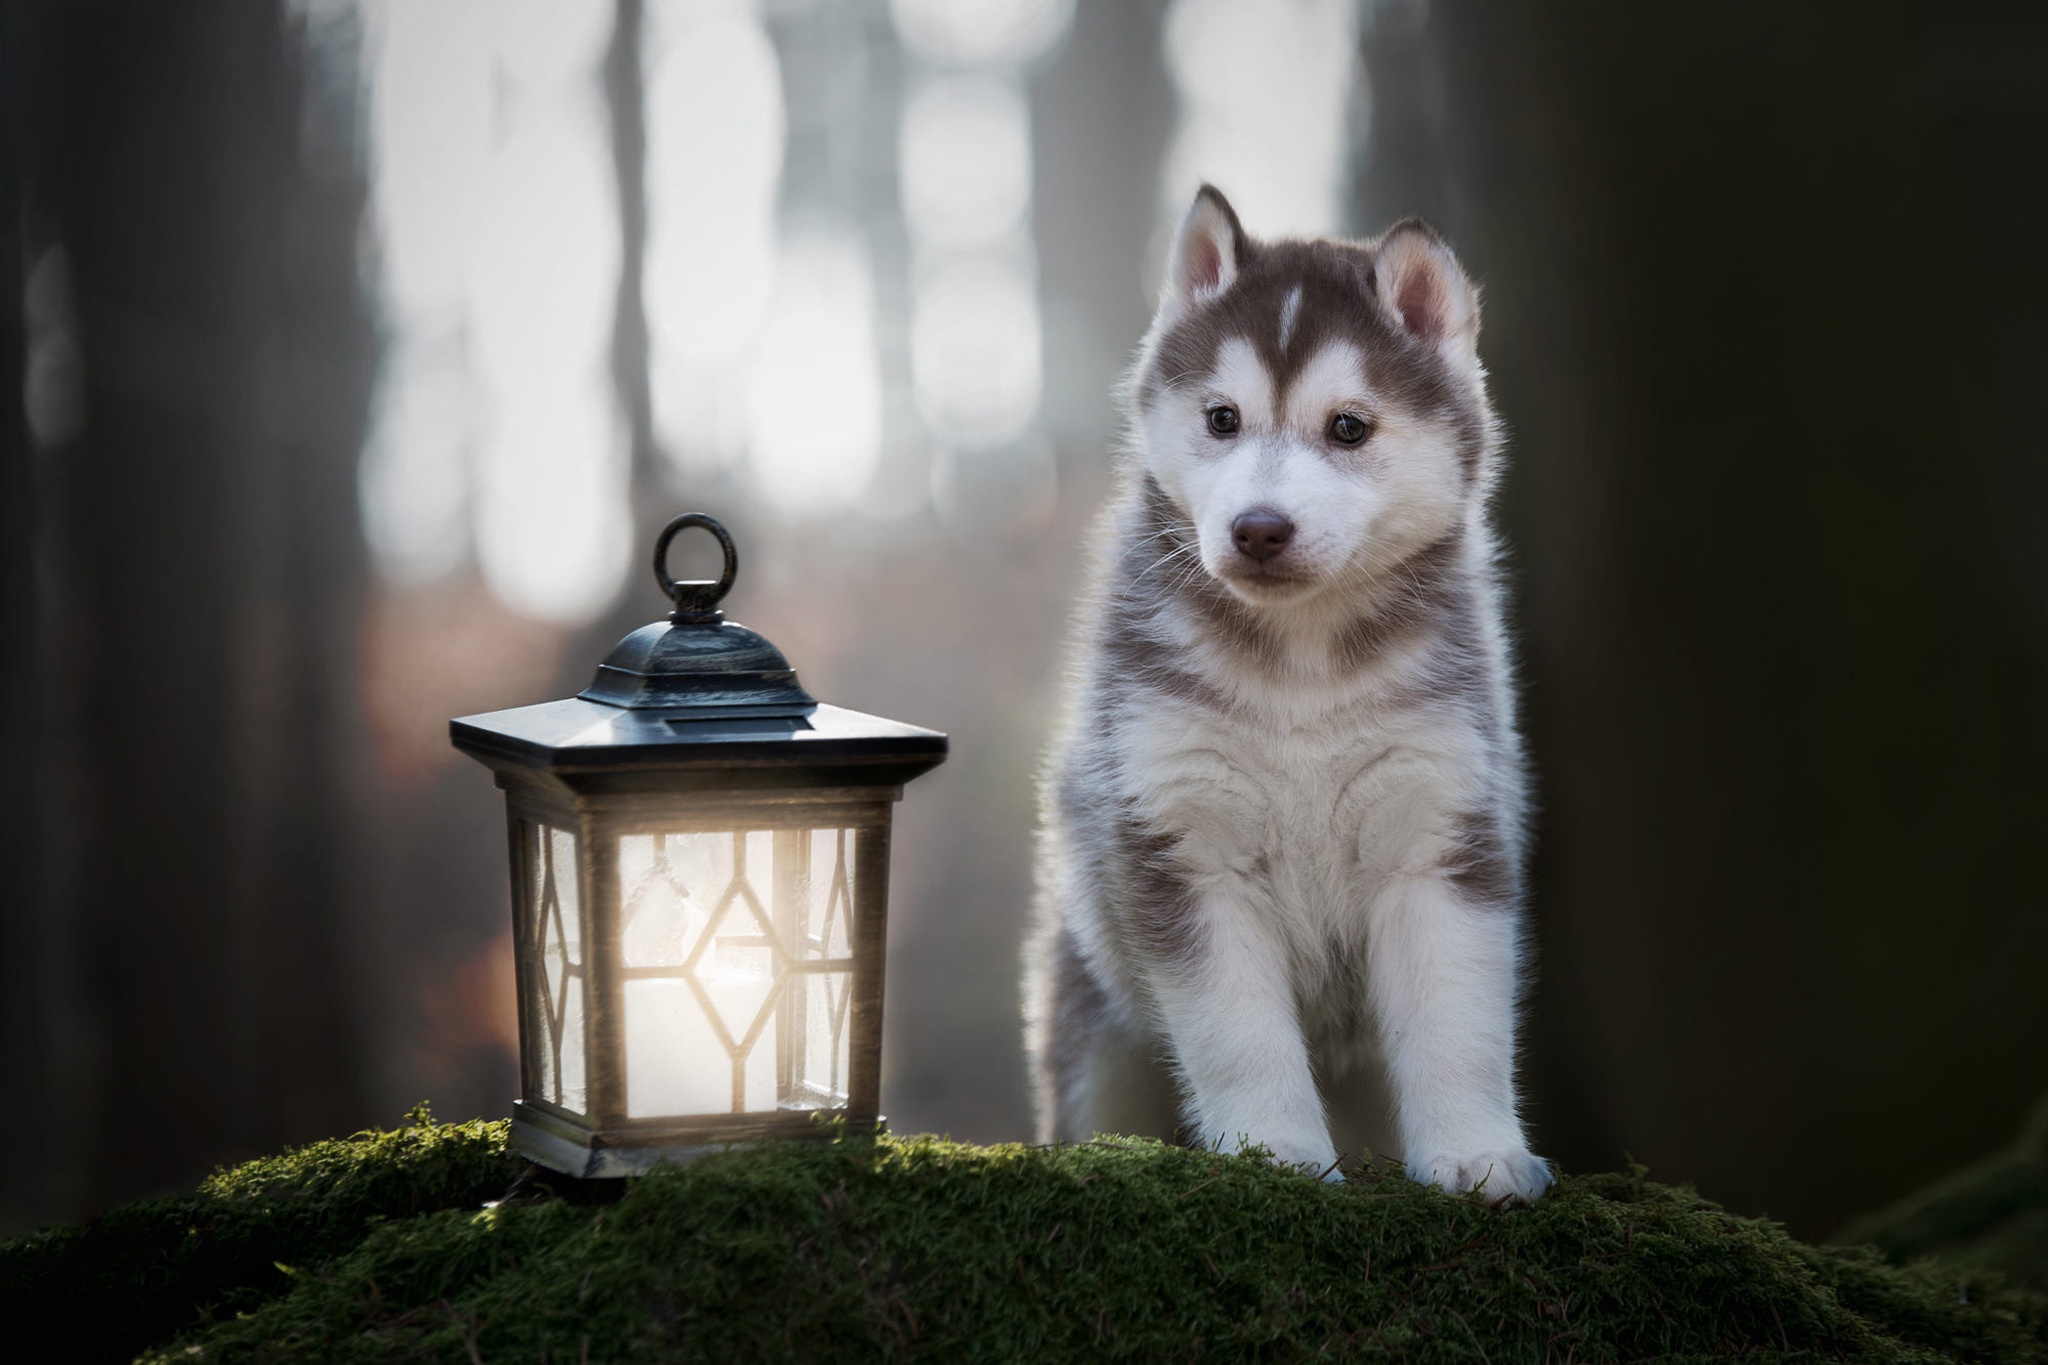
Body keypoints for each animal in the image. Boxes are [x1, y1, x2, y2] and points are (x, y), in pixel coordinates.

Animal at [1024, 187, 1548, 1203]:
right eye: (1222, 418)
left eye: (1349, 427)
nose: (1258, 527)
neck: (1303, 666)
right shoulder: (1182, 837)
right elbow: (1238, 1033)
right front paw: (1276, 1155)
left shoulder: (1438, 826)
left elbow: (1457, 1023)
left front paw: (1477, 1152)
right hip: (1097, 1017)